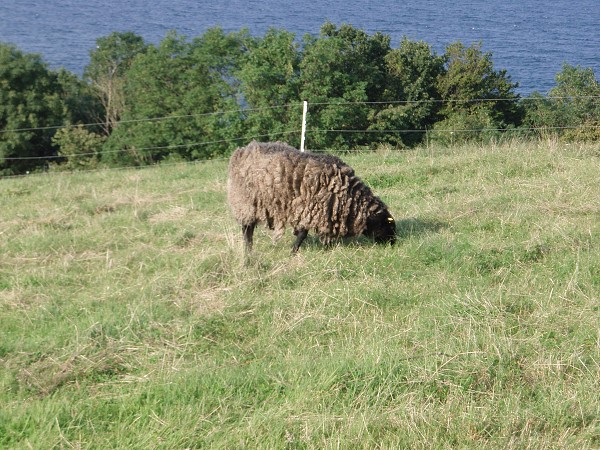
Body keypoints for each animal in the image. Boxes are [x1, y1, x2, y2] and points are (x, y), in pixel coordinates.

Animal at [227, 141, 396, 253]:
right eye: (388, 226)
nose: (394, 244)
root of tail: (242, 151)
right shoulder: (311, 208)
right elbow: (303, 234)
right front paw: (293, 251)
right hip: (245, 203)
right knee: (247, 230)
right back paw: (248, 251)